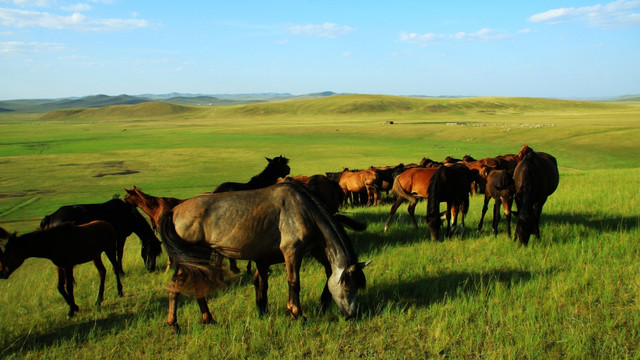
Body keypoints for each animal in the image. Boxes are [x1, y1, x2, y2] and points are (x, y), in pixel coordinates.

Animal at [158, 181, 370, 334]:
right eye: (348, 288)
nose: (351, 316)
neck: (305, 210)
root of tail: (174, 210)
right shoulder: (292, 252)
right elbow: (293, 283)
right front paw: (297, 314)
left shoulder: (287, 254)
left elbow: (265, 283)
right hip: (193, 256)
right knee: (177, 286)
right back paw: (175, 325)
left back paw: (208, 319)